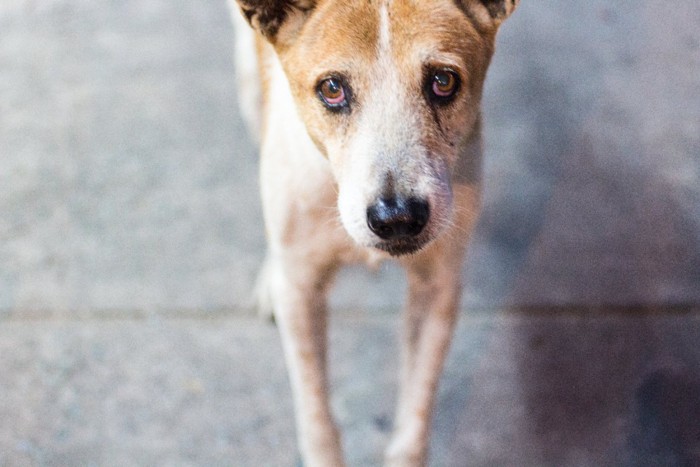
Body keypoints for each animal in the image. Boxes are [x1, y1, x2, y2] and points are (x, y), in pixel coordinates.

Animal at [231, 1, 520, 466]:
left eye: (443, 81)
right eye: (332, 89)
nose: (398, 217)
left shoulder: (437, 287)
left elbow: (413, 423)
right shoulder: (302, 293)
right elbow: (317, 422)